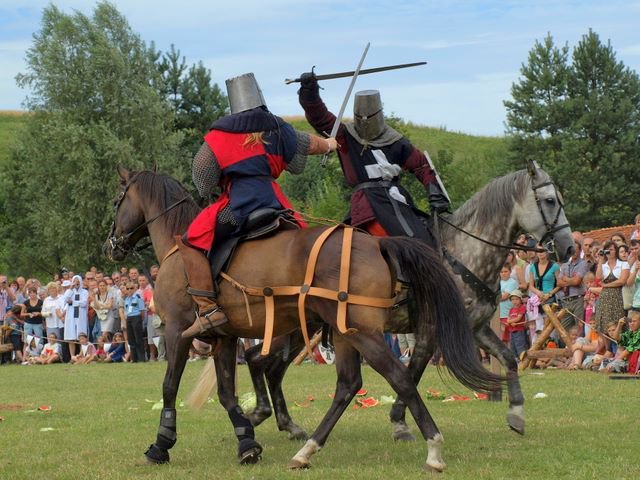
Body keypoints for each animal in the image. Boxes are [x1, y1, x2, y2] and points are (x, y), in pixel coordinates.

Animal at [102, 167, 502, 470]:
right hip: (340, 333)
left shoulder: (177, 331)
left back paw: (432, 448)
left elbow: (170, 386)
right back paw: (304, 448)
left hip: (359, 333)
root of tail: (377, 244)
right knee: (342, 383)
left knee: (398, 377)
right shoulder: (225, 336)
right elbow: (227, 391)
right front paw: (247, 441)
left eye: (118, 199)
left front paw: (161, 444)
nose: (111, 245)